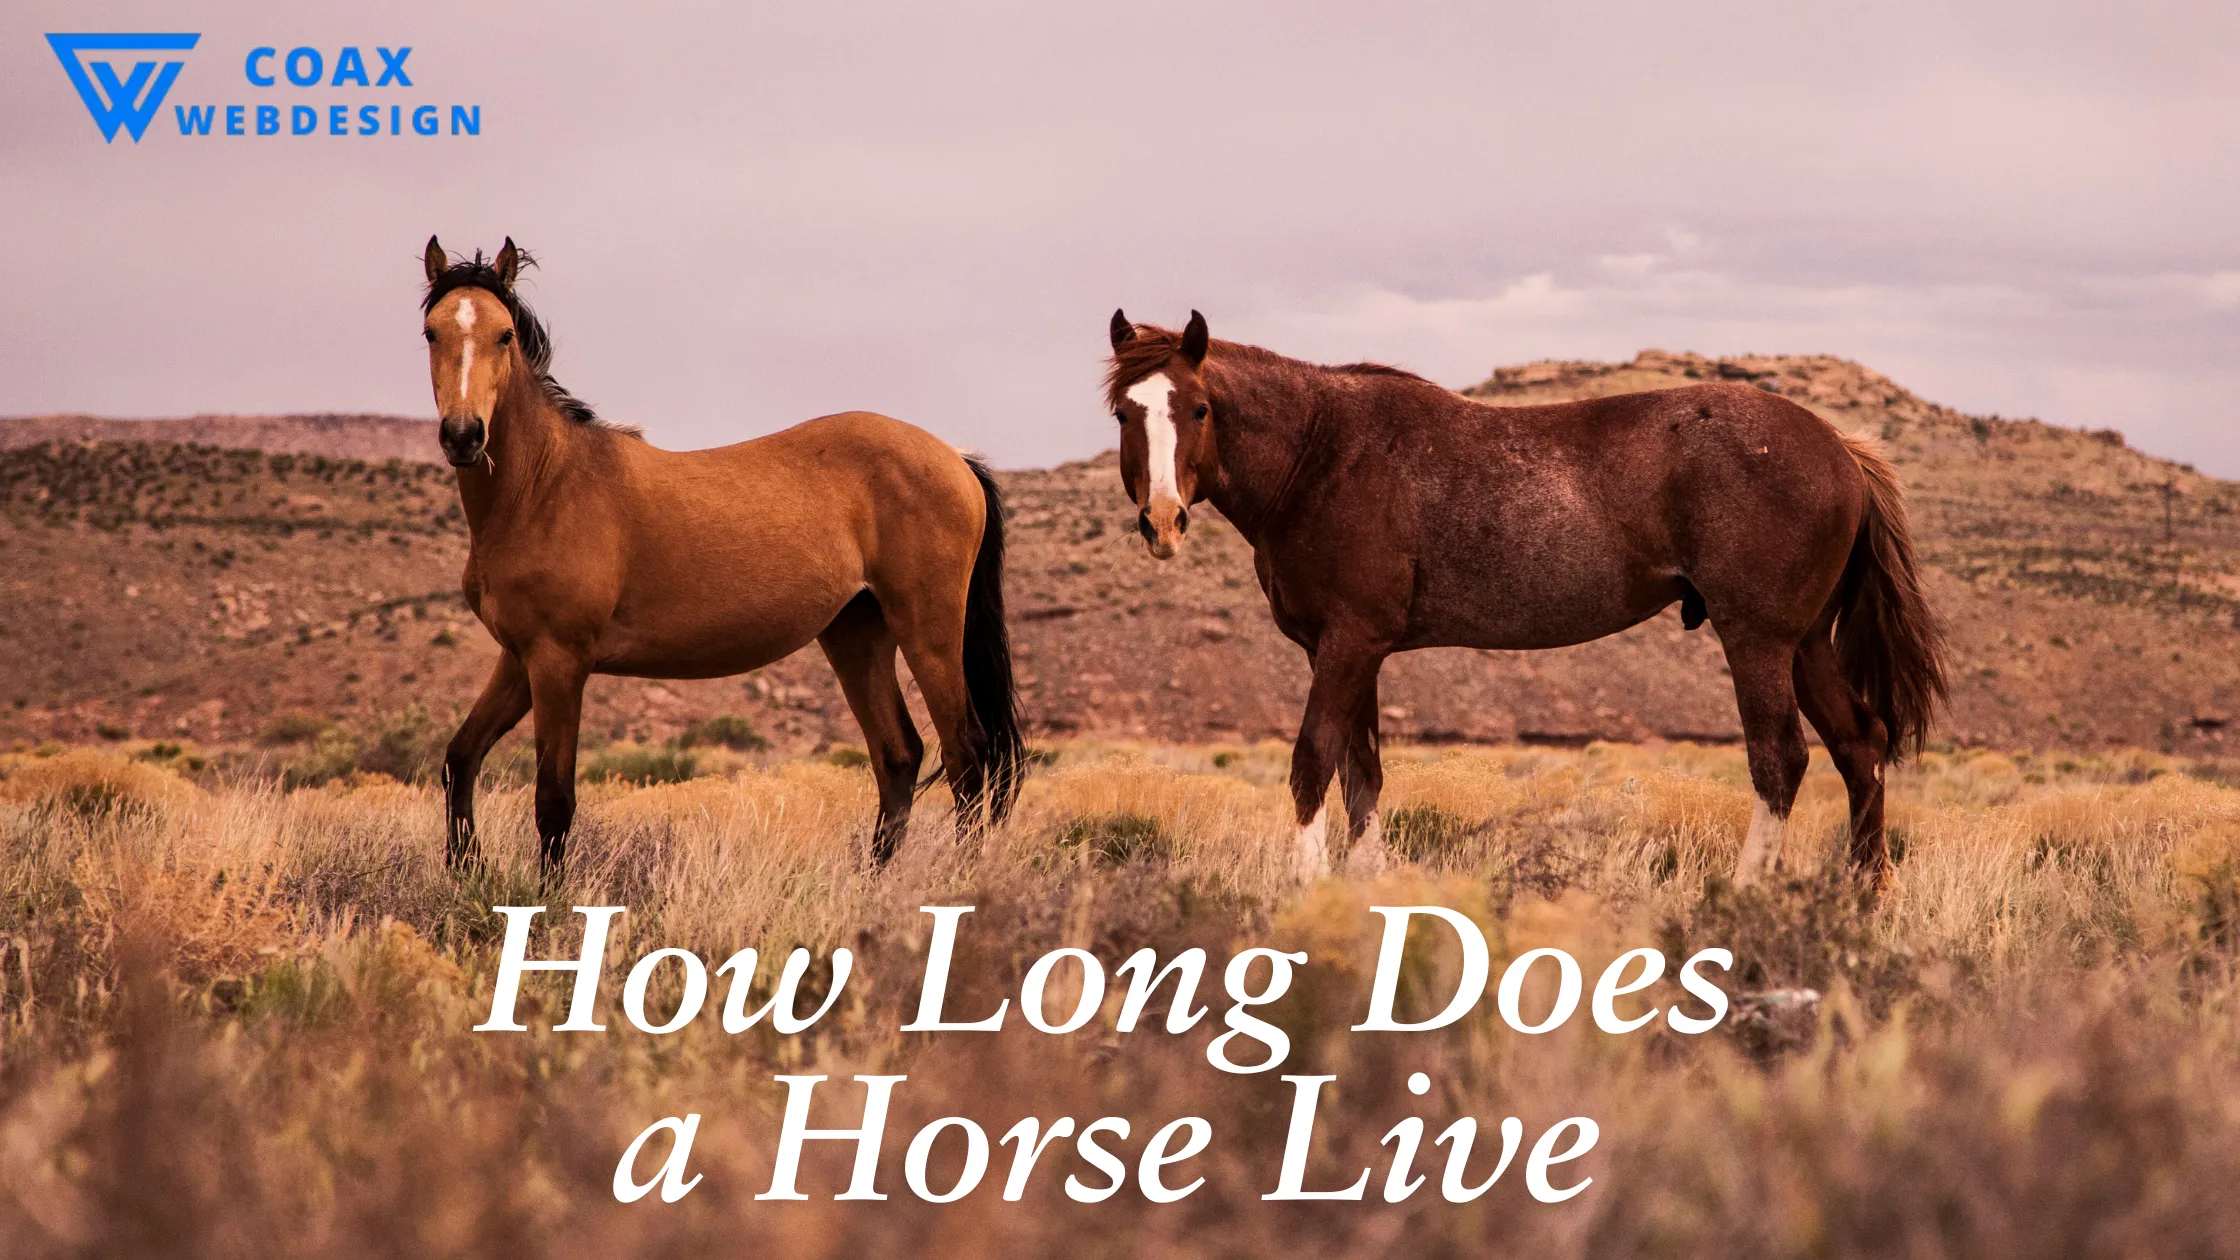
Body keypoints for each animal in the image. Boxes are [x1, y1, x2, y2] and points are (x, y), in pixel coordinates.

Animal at [416, 239, 1021, 878]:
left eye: (504, 334)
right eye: (431, 332)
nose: (463, 435)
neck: (545, 487)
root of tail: (954, 457)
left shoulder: (559, 663)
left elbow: (553, 799)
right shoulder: (519, 658)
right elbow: (460, 758)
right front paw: (466, 869)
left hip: (929, 632)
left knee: (967, 756)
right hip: (856, 633)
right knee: (899, 754)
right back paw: (872, 882)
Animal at [1102, 311, 1944, 883]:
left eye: (1198, 408)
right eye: (1124, 412)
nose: (1163, 520)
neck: (1322, 453)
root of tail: (1839, 448)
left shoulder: (1347, 644)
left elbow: (1313, 760)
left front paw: (1307, 886)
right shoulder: (1353, 651)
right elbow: (1361, 773)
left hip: (1758, 641)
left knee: (1781, 760)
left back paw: (1747, 895)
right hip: (1804, 644)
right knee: (1859, 747)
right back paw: (1861, 898)